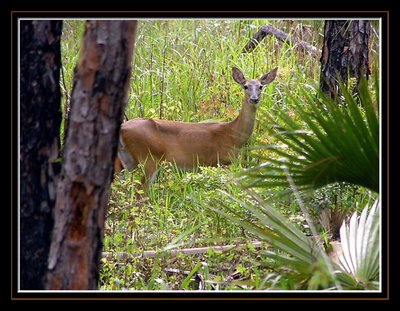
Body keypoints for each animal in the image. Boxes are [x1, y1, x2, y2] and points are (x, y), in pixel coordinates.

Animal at [115, 67, 278, 195]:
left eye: (261, 86)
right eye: (245, 86)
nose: (254, 99)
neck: (233, 134)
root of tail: (122, 128)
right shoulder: (220, 161)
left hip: (126, 162)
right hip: (148, 158)